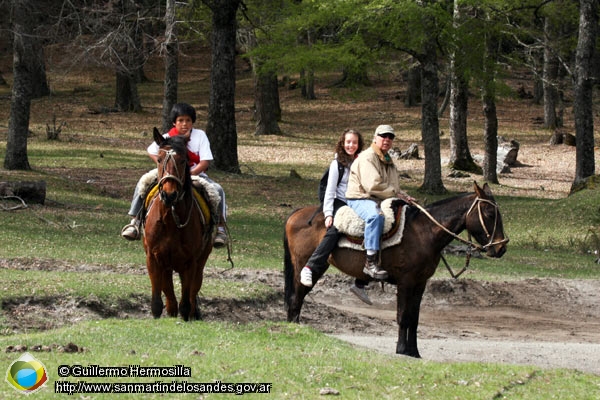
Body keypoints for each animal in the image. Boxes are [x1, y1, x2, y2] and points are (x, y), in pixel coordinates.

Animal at [142, 128, 213, 322]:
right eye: (159, 159)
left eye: (183, 160)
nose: (169, 194)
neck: (170, 220)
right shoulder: (153, 258)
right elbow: (158, 300)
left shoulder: (190, 262)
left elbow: (187, 301)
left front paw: (187, 315)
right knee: (170, 294)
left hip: (200, 260)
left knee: (193, 290)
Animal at [284, 181, 508, 356]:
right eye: (489, 213)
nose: (501, 248)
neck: (424, 232)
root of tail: (297, 213)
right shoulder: (406, 282)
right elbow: (403, 316)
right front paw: (401, 349)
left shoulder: (420, 283)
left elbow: (414, 318)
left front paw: (414, 351)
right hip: (303, 265)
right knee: (296, 298)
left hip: (318, 266)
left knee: (298, 298)